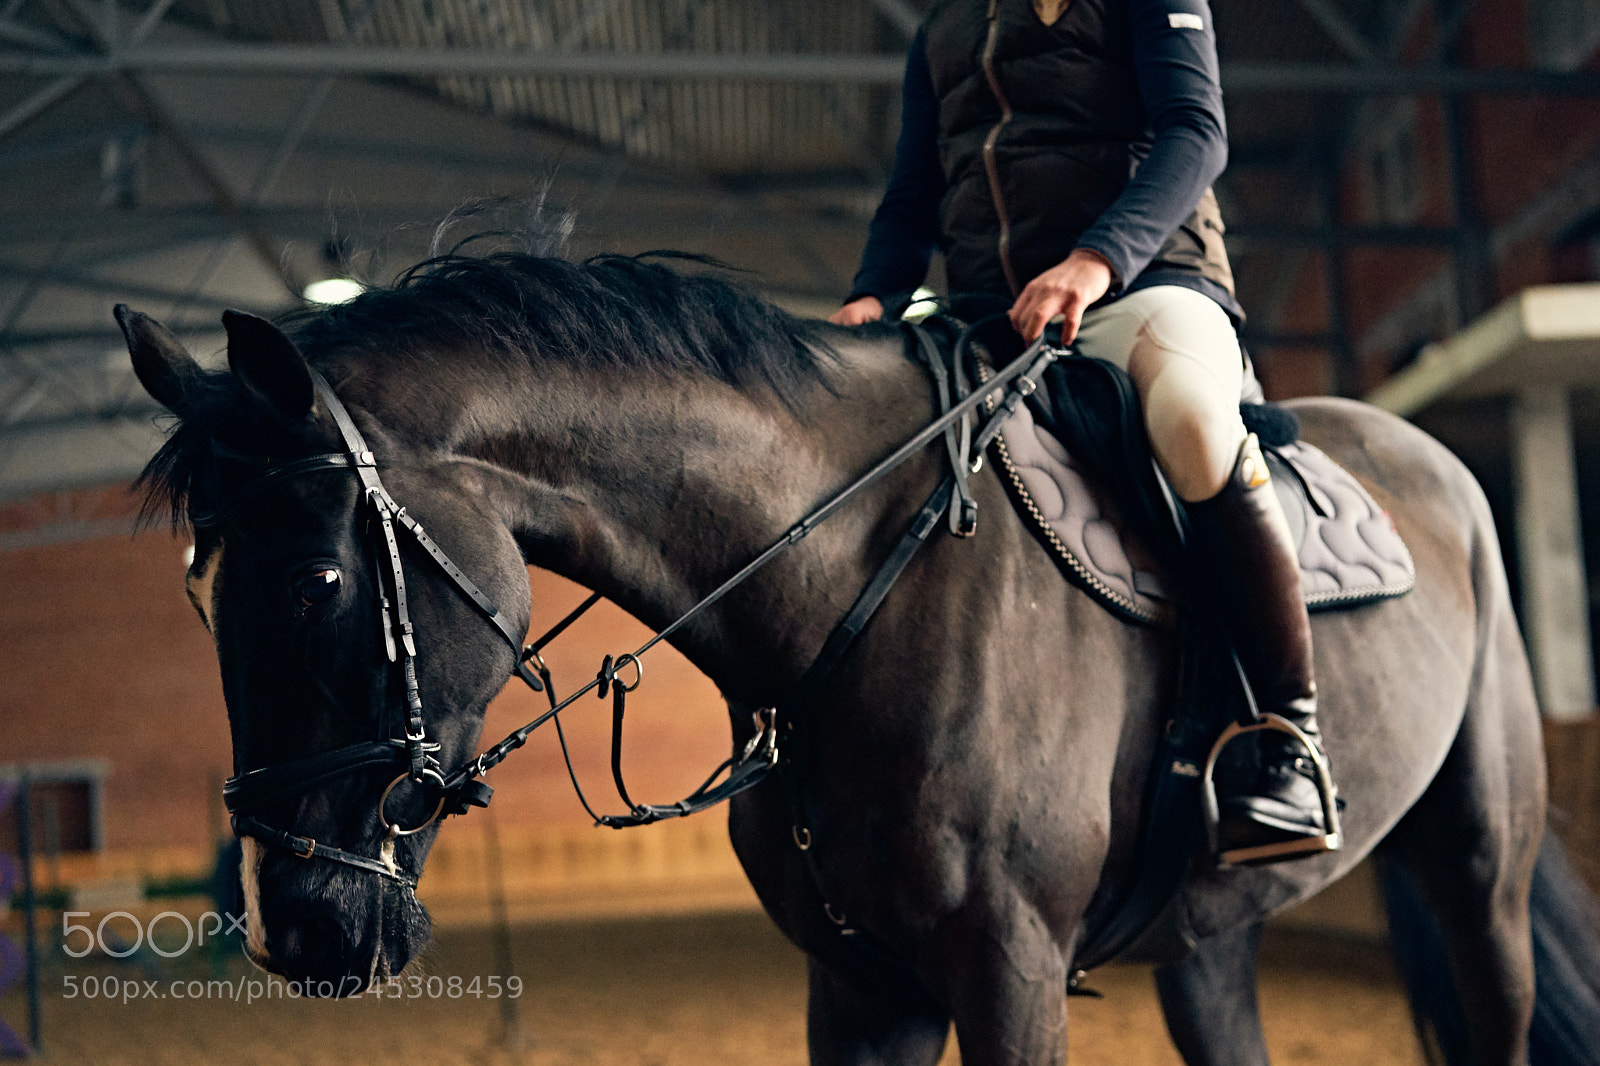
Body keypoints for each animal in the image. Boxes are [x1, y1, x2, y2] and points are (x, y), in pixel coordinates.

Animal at [116, 243, 1600, 1065]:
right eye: (195, 594)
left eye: (316, 578)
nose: (296, 927)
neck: (853, 589)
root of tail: (1431, 457)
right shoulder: (860, 986)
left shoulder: (1009, 973)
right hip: (1209, 932)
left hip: (1479, 866)